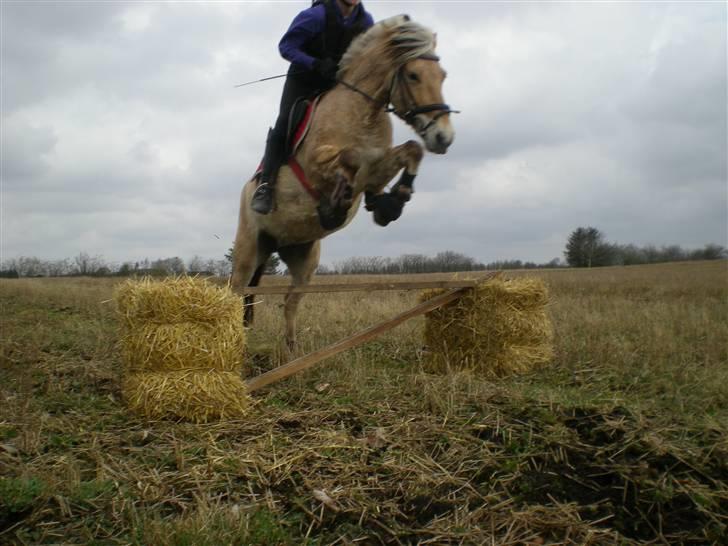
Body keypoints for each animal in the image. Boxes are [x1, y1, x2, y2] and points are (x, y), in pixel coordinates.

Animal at [230, 15, 456, 348]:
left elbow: (410, 151)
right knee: (237, 293)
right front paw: (338, 204)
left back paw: (291, 352)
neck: (364, 110)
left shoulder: (378, 165)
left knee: (289, 303)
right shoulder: (317, 163)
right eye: (413, 75)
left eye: (442, 76)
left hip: (304, 259)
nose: (443, 138)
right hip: (248, 249)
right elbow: (350, 157)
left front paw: (391, 203)